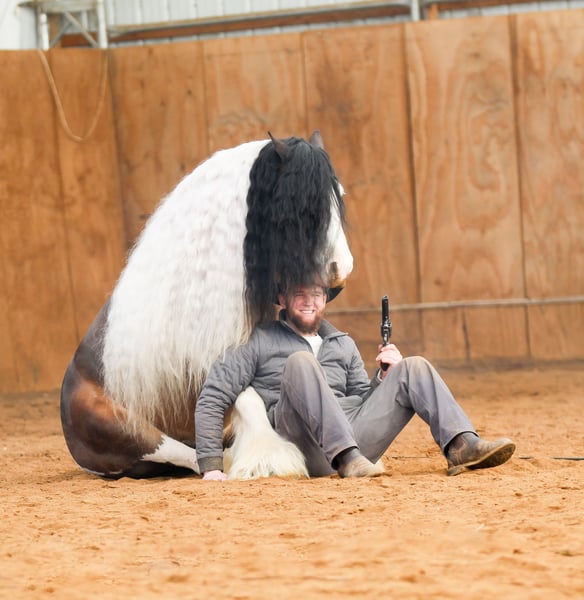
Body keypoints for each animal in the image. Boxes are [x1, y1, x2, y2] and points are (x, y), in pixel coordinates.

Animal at [60, 131, 353, 479]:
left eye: (338, 197)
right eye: (303, 207)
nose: (341, 273)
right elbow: (249, 399)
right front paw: (271, 459)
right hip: (129, 430)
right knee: (185, 452)